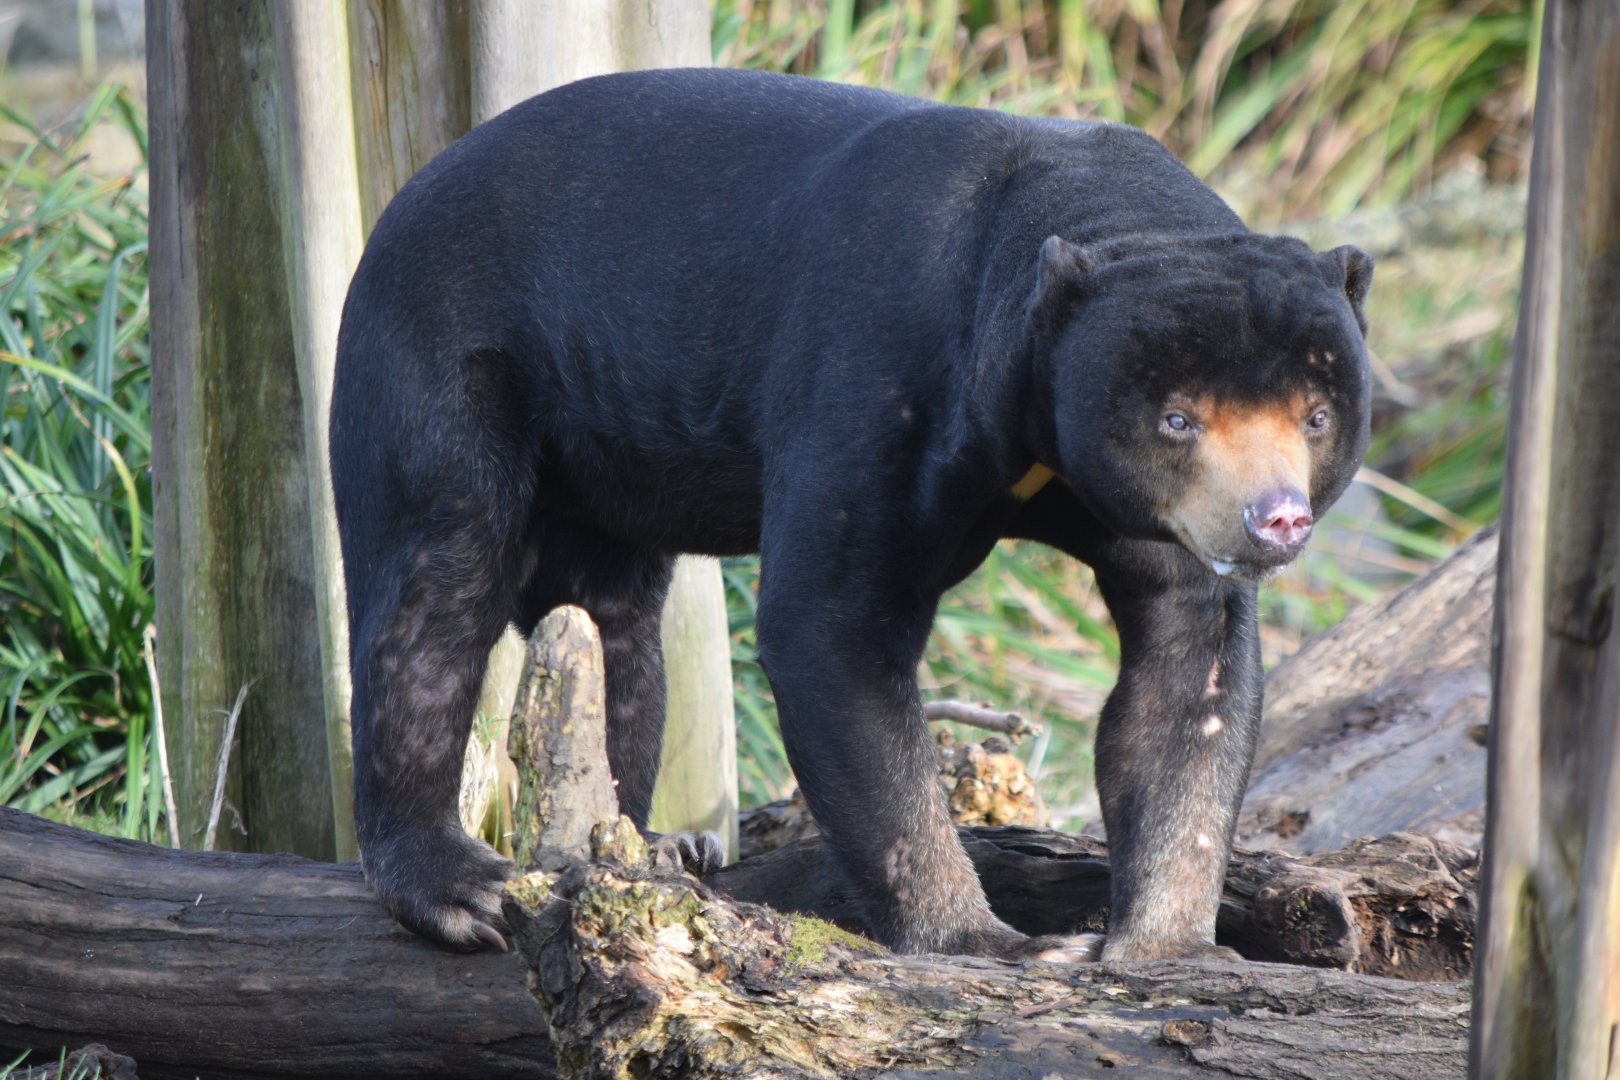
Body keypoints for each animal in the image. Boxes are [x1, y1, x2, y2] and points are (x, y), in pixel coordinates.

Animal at [330, 67, 1372, 961]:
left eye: (1316, 416)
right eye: (1176, 419)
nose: (1273, 520)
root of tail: (397, 205)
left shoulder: (1154, 518)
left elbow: (1186, 674)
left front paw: (1165, 945)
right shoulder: (883, 377)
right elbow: (831, 628)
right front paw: (992, 941)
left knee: (613, 631)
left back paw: (656, 843)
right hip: (443, 362)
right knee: (437, 590)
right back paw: (458, 888)